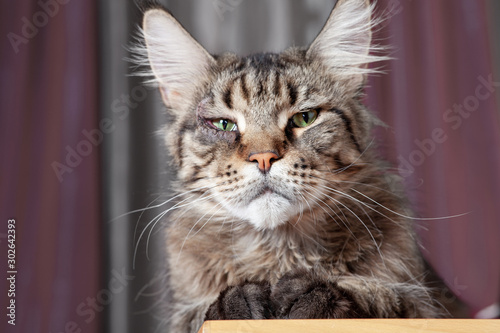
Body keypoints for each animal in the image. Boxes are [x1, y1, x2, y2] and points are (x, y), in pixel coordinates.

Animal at [133, 0, 442, 332]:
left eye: (304, 118)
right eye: (223, 124)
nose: (264, 157)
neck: (277, 256)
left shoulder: (427, 305)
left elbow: (382, 298)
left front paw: (310, 295)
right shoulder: (181, 314)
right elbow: (201, 312)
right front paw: (239, 302)